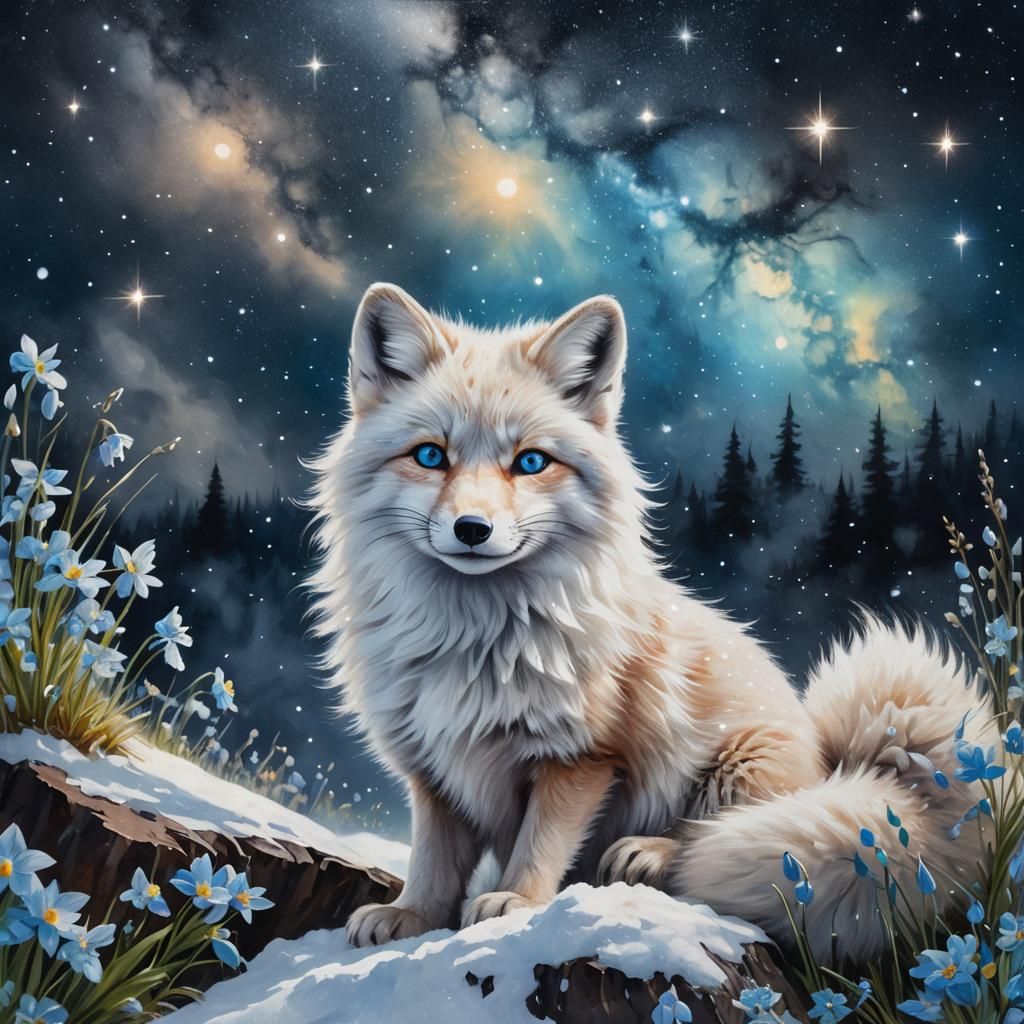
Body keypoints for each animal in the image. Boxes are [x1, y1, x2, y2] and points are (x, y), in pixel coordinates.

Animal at [309, 282, 993, 960]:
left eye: (530, 463)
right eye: (430, 456)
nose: (472, 529)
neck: (470, 643)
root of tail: (844, 763)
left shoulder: (580, 758)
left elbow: (539, 843)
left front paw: (517, 902)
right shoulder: (434, 768)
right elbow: (433, 860)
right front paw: (413, 916)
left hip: (741, 768)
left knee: (716, 844)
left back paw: (652, 853)